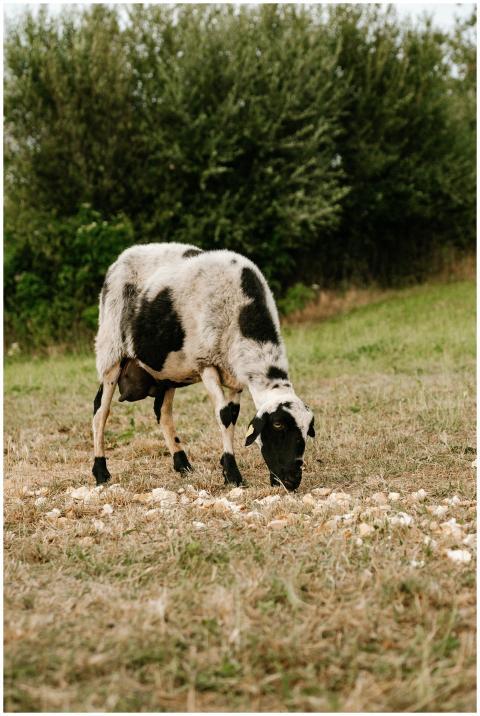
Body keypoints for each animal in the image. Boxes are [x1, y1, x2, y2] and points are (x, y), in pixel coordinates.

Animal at [92, 242, 315, 491]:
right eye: (277, 426)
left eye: (307, 431)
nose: (292, 481)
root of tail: (122, 258)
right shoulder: (206, 363)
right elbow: (224, 415)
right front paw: (233, 474)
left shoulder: (235, 375)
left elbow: (233, 415)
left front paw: (225, 467)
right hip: (111, 351)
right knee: (100, 412)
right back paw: (101, 472)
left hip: (168, 373)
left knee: (163, 413)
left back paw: (183, 465)